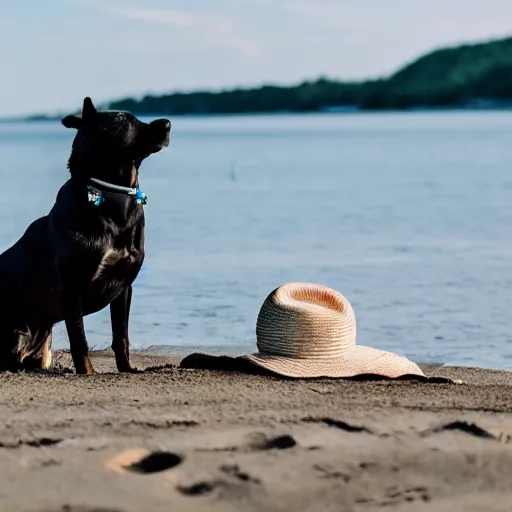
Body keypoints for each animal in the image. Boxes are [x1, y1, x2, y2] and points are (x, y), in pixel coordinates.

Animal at [0, 98, 170, 374]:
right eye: (123, 119)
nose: (167, 123)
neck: (109, 197)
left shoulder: (124, 286)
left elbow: (121, 336)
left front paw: (126, 369)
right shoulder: (72, 287)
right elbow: (79, 339)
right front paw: (87, 372)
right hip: (16, 330)